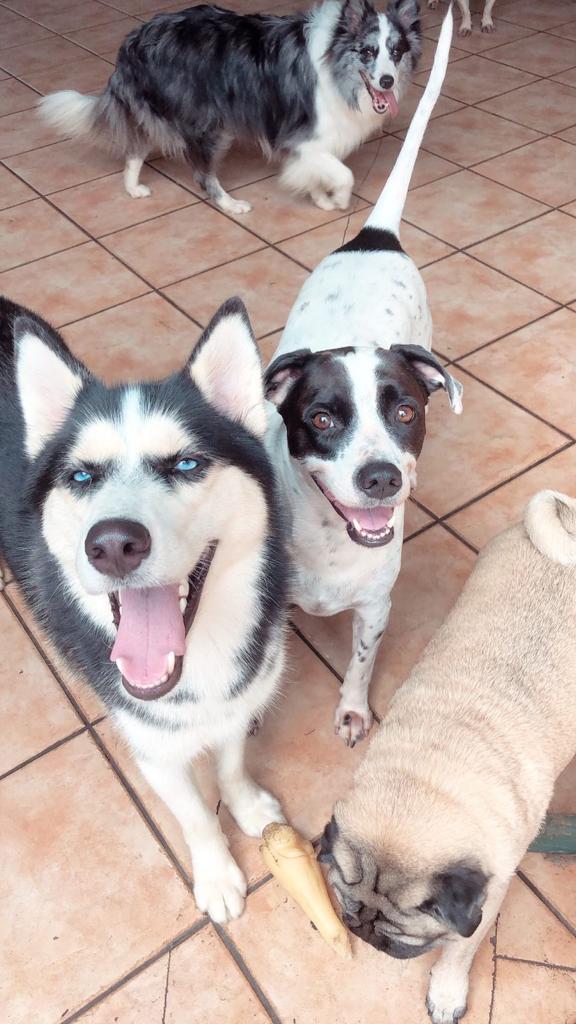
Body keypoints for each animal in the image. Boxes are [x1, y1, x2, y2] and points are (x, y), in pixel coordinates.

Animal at [0, 294, 289, 923]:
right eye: (82, 475)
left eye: (186, 466)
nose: (112, 544)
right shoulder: (153, 748)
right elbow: (195, 816)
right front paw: (216, 874)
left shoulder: (238, 704)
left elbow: (231, 764)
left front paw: (247, 807)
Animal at [38, 0, 421, 214]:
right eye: (368, 51)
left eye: (396, 51)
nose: (387, 81)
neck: (335, 63)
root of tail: (133, 41)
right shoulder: (301, 135)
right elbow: (344, 173)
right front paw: (338, 200)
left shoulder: (310, 142)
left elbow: (318, 170)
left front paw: (320, 198)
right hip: (207, 124)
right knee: (202, 174)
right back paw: (231, 204)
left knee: (136, 149)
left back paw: (133, 189)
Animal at [264, 7, 461, 748]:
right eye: (321, 417)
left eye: (404, 411)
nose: (382, 479)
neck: (328, 538)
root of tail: (374, 234)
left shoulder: (376, 605)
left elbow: (362, 661)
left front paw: (353, 708)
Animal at [319, 488, 576, 1023]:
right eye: (350, 910)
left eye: (402, 937)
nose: (365, 934)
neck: (428, 774)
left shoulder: (486, 900)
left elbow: (460, 950)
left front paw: (446, 991)